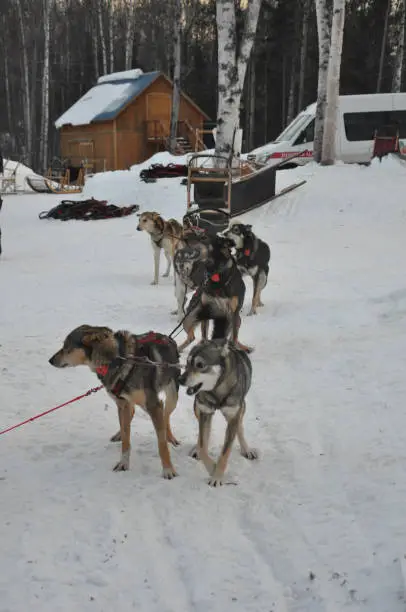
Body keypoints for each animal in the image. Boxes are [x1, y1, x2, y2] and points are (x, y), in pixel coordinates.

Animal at [48, 326, 179, 478]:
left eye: (66, 347)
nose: (50, 360)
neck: (115, 360)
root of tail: (169, 338)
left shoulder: (154, 405)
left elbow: (162, 444)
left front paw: (168, 469)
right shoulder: (122, 403)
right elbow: (126, 438)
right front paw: (123, 463)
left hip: (172, 398)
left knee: (166, 415)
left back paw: (170, 437)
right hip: (124, 403)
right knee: (131, 415)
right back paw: (119, 433)